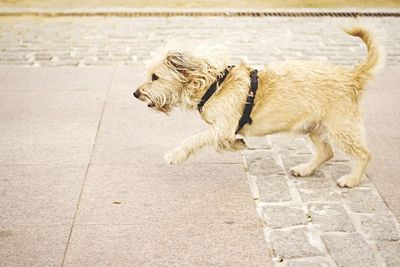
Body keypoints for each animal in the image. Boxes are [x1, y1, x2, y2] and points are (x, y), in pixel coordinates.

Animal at [134, 25, 382, 188]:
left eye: (155, 77)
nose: (135, 94)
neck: (211, 83)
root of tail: (351, 76)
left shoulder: (222, 126)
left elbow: (195, 139)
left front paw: (175, 155)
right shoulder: (223, 129)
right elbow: (221, 141)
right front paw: (236, 144)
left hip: (341, 128)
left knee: (365, 154)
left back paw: (352, 179)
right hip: (313, 126)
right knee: (326, 152)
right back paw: (305, 169)